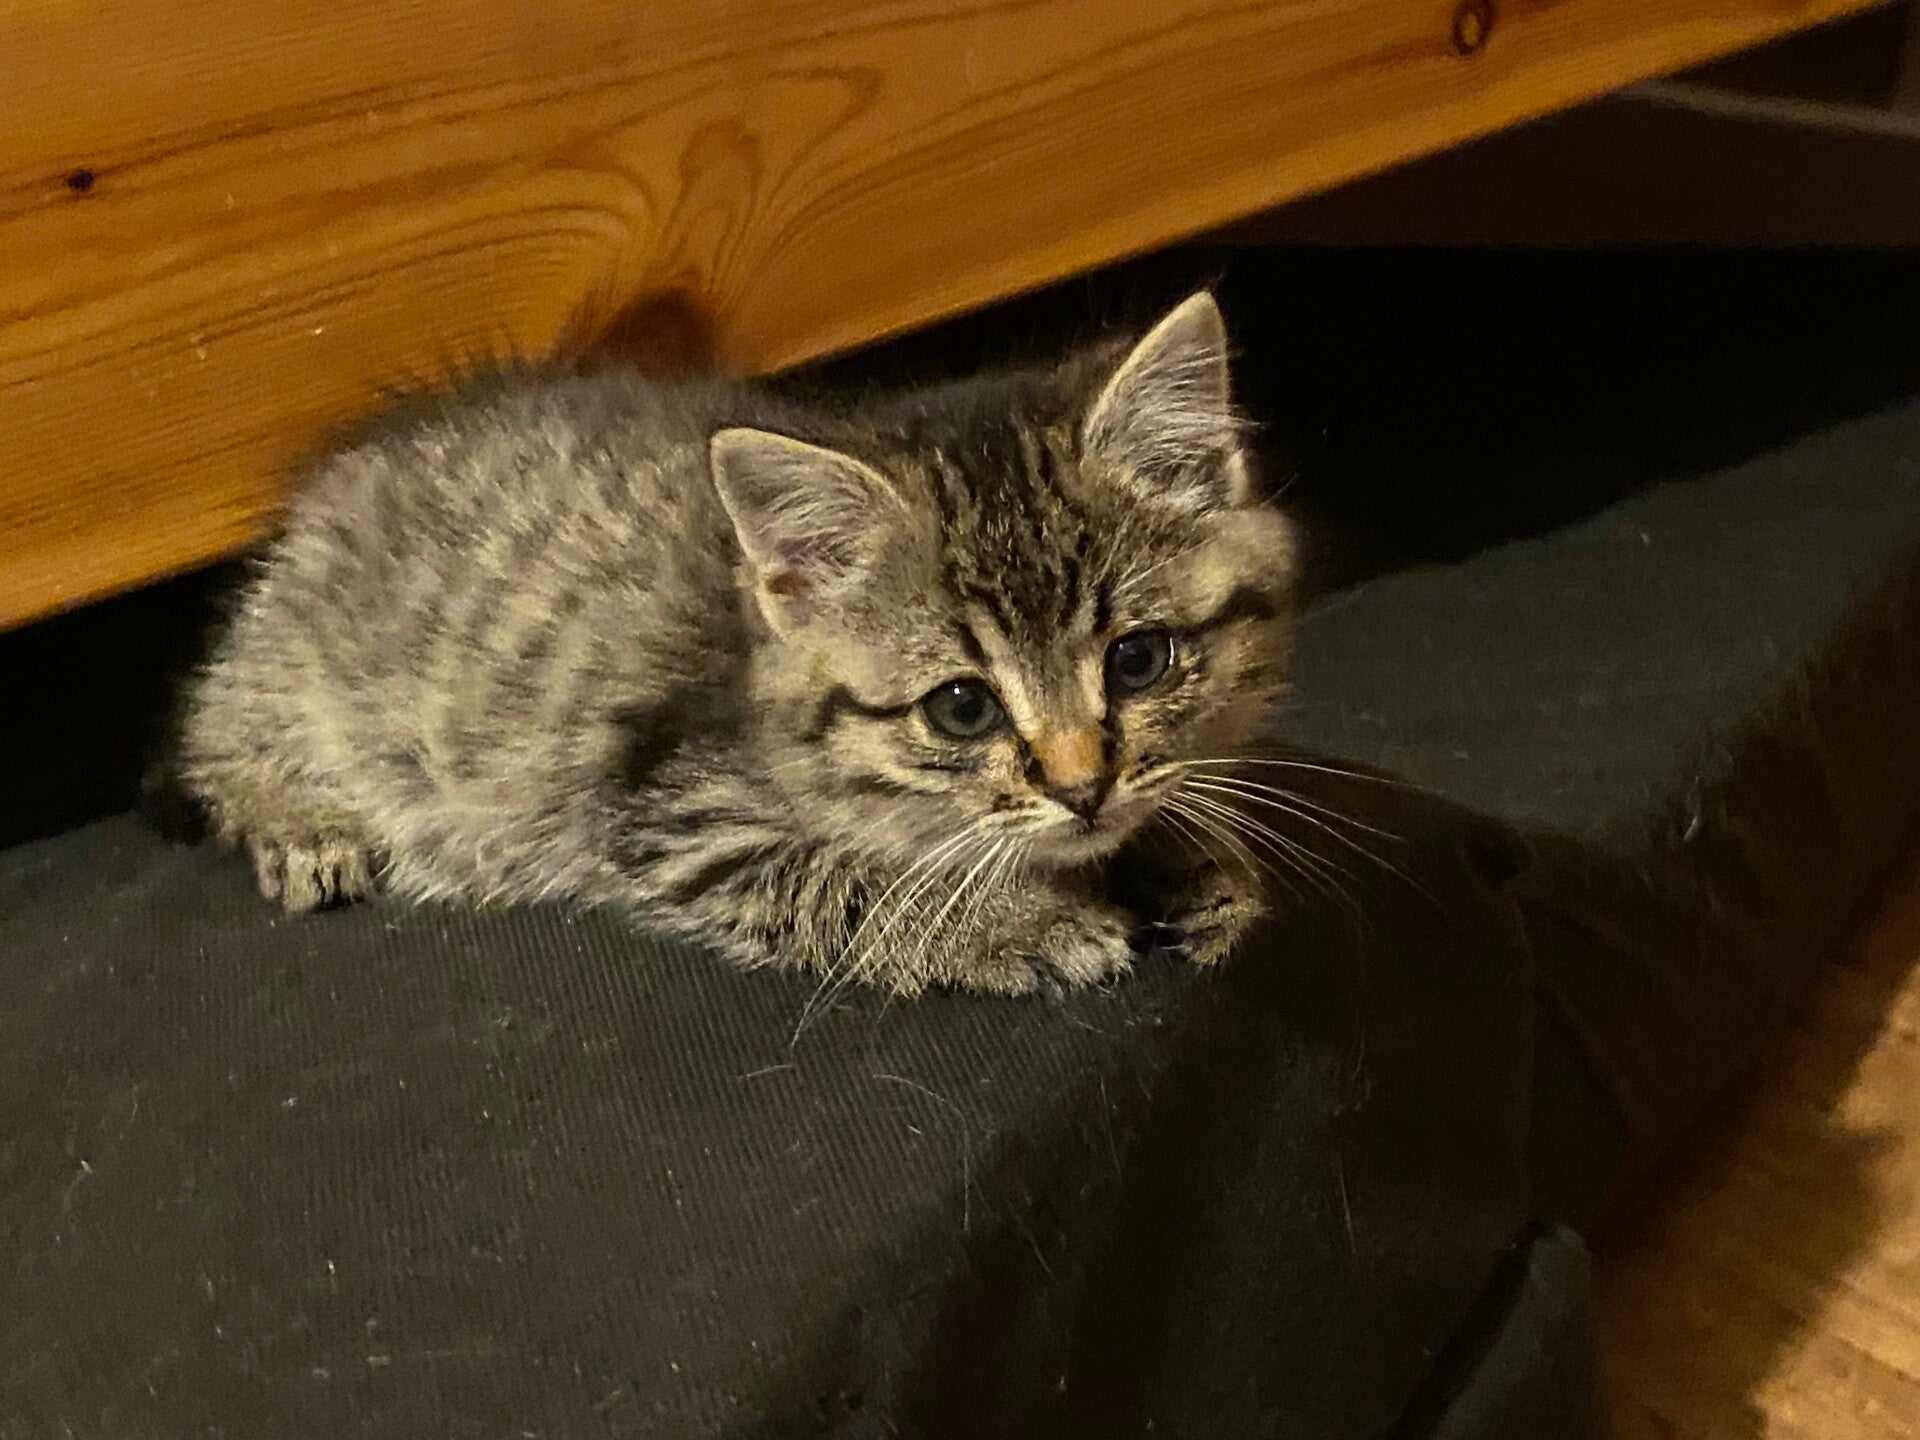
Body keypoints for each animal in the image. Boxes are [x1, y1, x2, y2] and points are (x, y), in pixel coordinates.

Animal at [173, 292, 1297, 995]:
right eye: (961, 707)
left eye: (1138, 659)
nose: (1081, 789)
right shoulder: (673, 813)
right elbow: (859, 878)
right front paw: (1017, 918)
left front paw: (1198, 854)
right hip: (290, 674)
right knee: (215, 739)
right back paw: (300, 822)